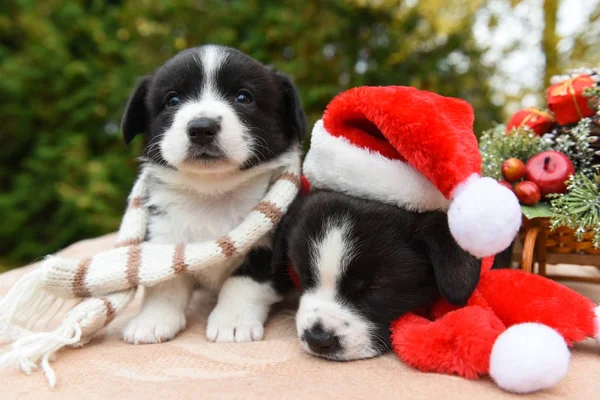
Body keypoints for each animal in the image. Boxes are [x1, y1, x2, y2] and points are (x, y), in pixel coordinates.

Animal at [118, 44, 304, 344]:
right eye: (172, 100)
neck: (212, 194)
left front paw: (233, 322)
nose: (202, 128)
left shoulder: (270, 248)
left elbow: (242, 282)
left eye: (243, 97)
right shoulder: (164, 236)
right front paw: (153, 320)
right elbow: (165, 284)